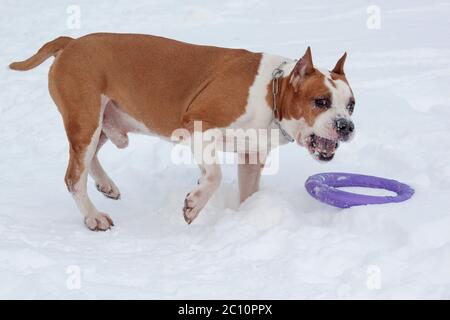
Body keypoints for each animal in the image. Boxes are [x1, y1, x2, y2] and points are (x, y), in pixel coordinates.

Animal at [9, 33, 356, 230]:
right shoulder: (198, 125)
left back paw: (106, 185)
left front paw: (245, 218)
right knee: (73, 176)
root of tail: (70, 43)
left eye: (351, 105)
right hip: (86, 118)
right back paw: (93, 217)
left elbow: (247, 192)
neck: (272, 91)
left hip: (103, 122)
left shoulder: (250, 155)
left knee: (86, 159)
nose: (346, 126)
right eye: (321, 101)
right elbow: (214, 175)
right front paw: (195, 204)